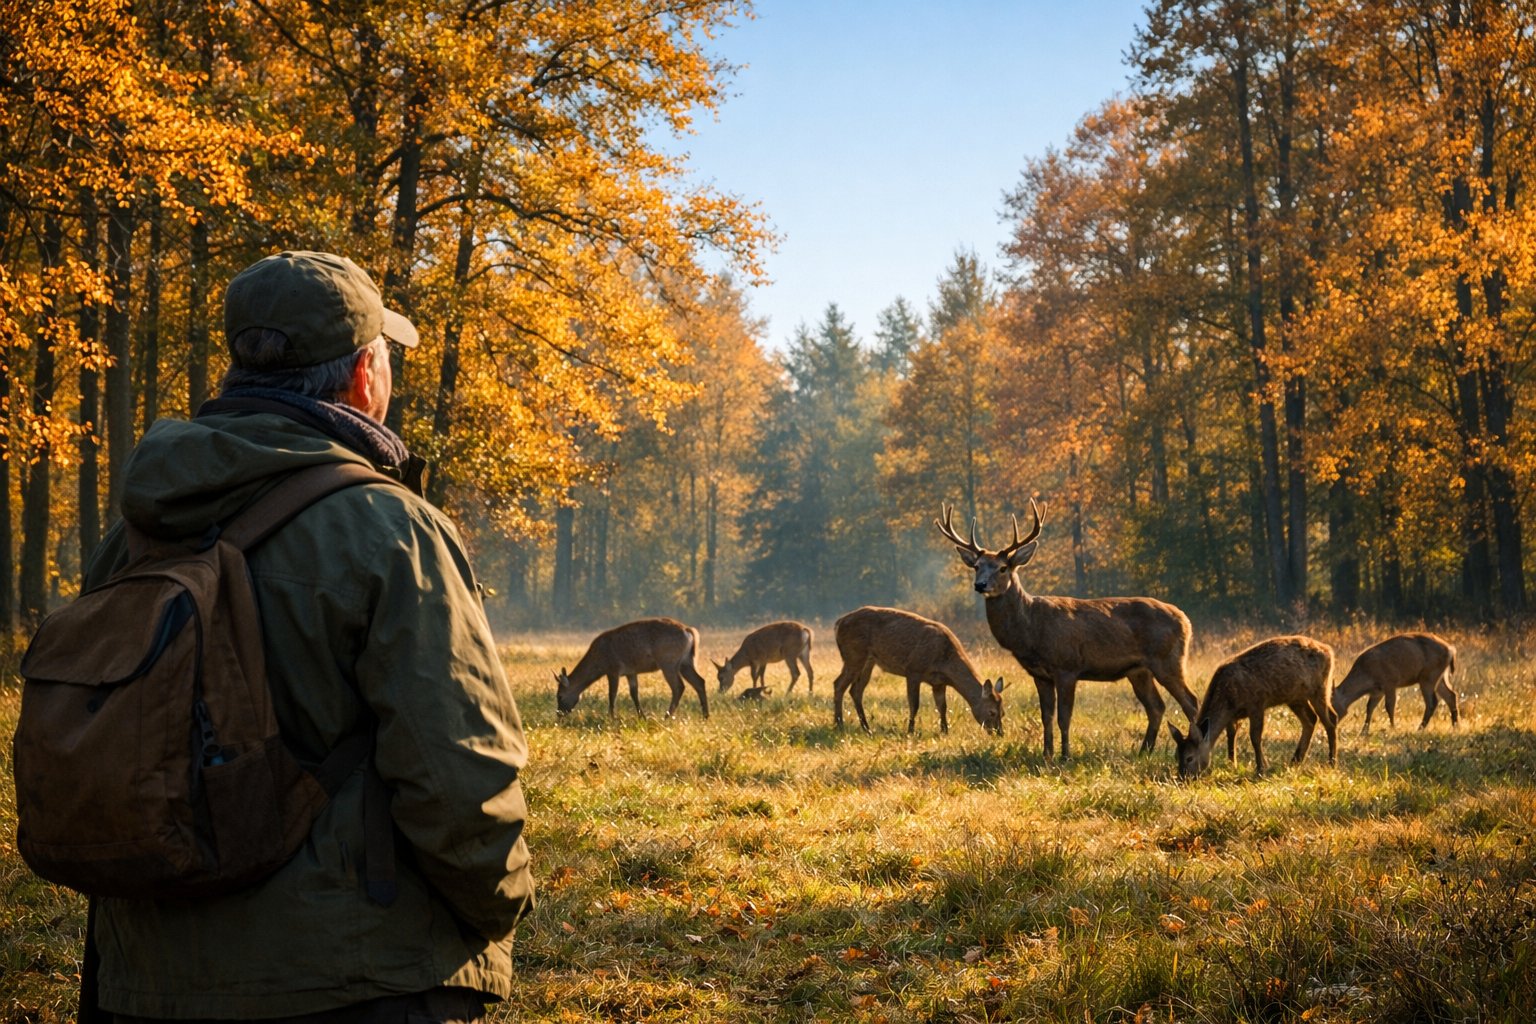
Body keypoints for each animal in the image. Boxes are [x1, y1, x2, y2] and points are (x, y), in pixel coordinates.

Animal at [555, 618, 710, 719]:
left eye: (560, 695)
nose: (559, 714)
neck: (598, 664)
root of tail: (689, 631)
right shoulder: (631, 672)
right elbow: (634, 694)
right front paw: (642, 716)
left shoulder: (613, 669)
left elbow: (612, 694)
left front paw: (611, 717)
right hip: (686, 661)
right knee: (700, 681)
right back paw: (705, 715)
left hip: (668, 662)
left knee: (679, 686)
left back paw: (667, 716)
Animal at [830, 606, 1006, 735]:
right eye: (991, 712)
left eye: (1003, 712)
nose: (999, 733)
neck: (945, 662)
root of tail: (838, 623)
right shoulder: (913, 670)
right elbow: (914, 704)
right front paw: (910, 731)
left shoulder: (938, 683)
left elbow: (942, 706)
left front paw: (944, 731)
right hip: (853, 654)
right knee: (838, 684)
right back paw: (839, 724)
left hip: (868, 661)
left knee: (856, 690)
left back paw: (866, 728)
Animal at [936, 500, 1198, 759]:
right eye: (977, 566)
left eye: (1002, 568)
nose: (980, 585)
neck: (1031, 630)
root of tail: (1185, 620)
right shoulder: (1040, 674)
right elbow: (1046, 717)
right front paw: (1046, 754)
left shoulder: (1067, 667)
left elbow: (1064, 717)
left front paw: (1065, 756)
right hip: (1138, 670)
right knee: (1156, 706)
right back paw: (1144, 751)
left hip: (1168, 660)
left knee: (1190, 702)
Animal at [1169, 635, 1337, 778]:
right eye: (1176, 756)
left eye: (1190, 758)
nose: (1183, 777)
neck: (1228, 699)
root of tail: (1329, 651)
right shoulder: (1232, 715)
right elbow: (1231, 735)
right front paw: (1232, 763)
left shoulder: (1256, 703)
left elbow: (1255, 737)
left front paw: (1260, 768)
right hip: (1295, 697)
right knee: (1311, 719)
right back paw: (1295, 760)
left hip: (1319, 688)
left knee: (1330, 719)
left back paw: (1331, 762)